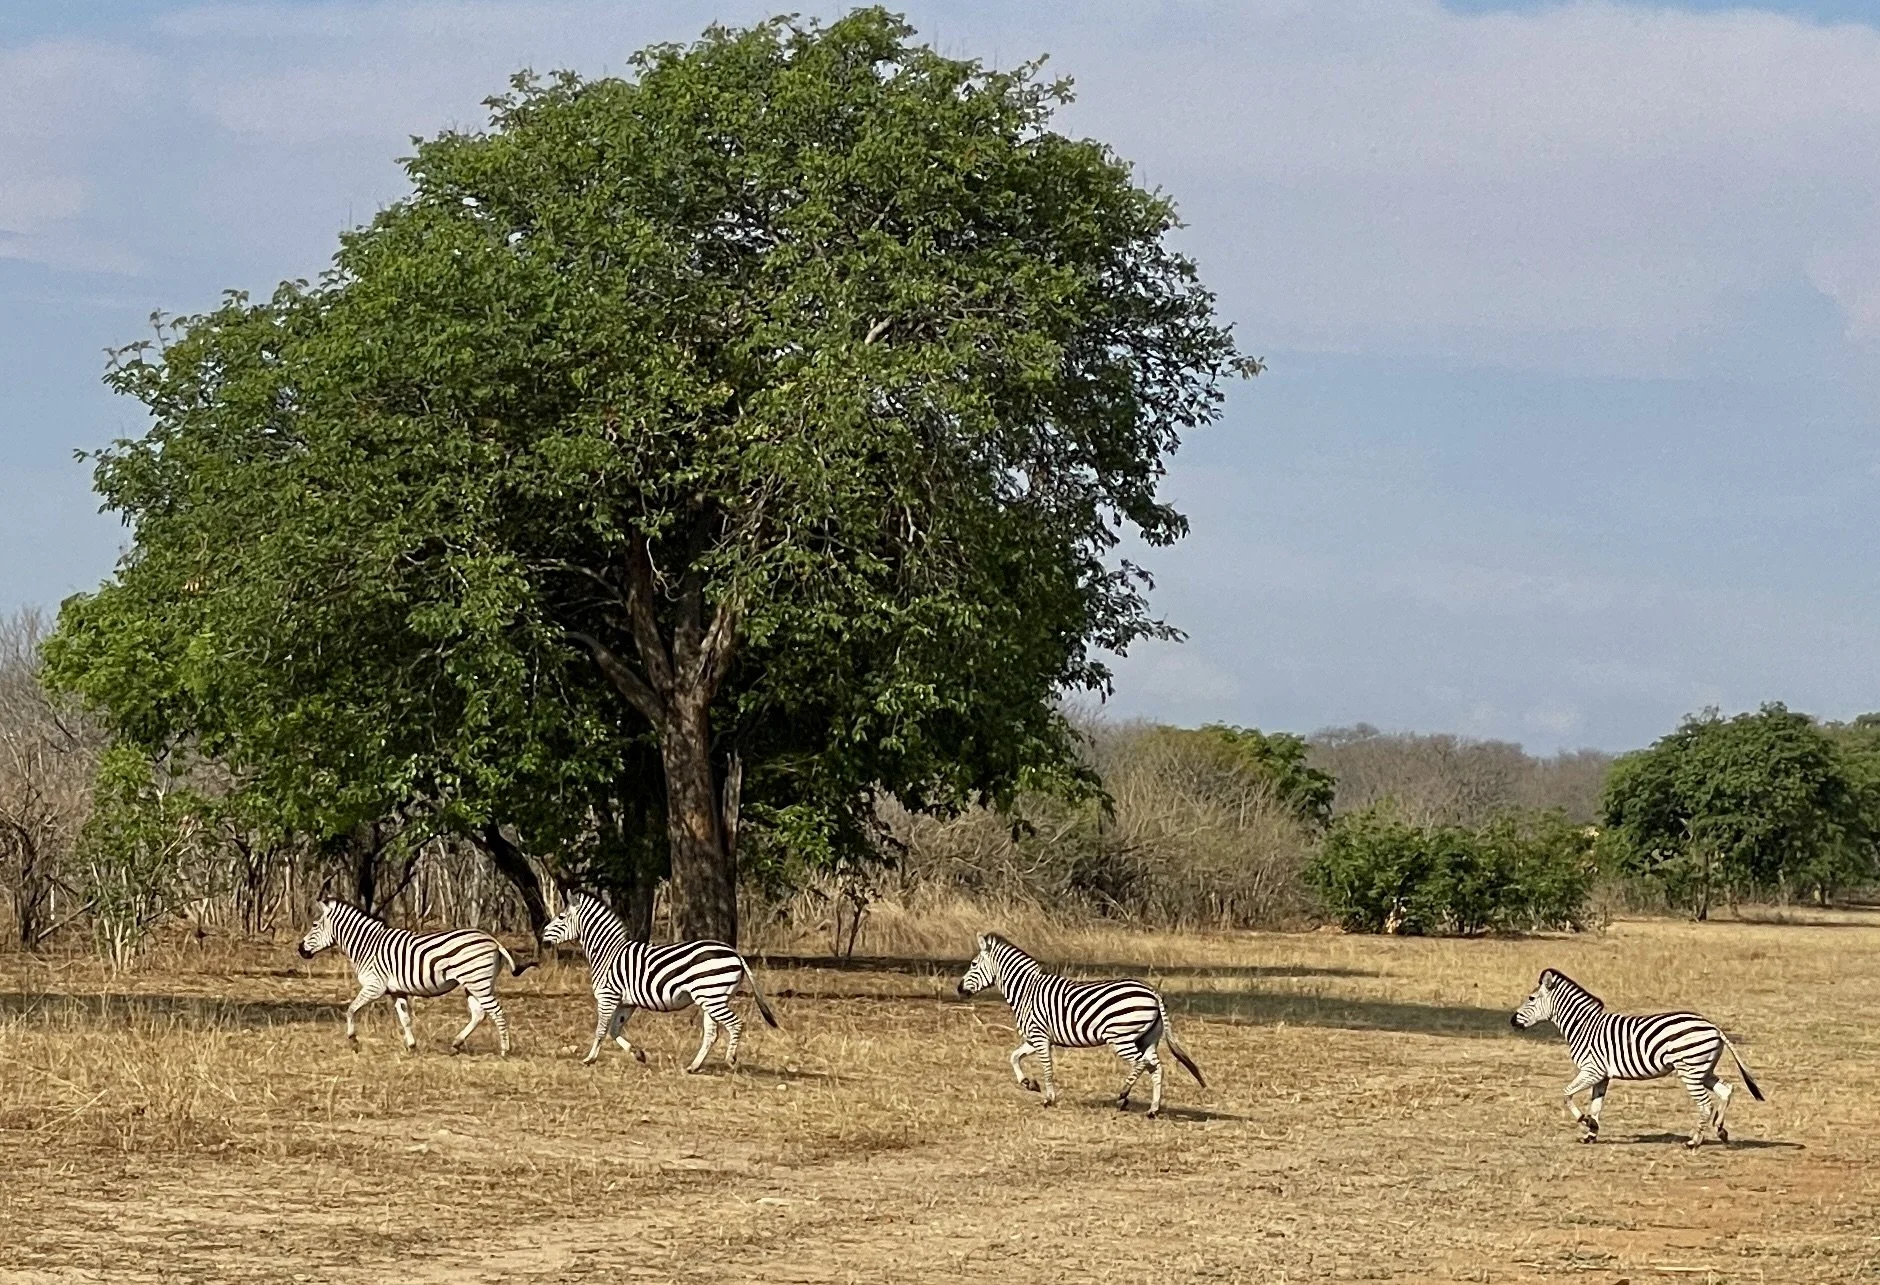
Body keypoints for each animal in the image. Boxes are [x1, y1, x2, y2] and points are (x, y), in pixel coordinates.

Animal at [296, 897, 533, 1055]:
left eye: (314, 925)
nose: (300, 949)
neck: (367, 945)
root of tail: (493, 940)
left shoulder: (375, 986)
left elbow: (351, 1009)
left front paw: (353, 1041)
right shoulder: (396, 991)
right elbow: (405, 1018)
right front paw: (411, 1046)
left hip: (477, 982)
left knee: (497, 1012)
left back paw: (505, 1050)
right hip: (474, 984)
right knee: (479, 1013)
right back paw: (455, 1044)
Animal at [541, 890, 779, 1071]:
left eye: (561, 917)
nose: (542, 935)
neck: (608, 953)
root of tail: (735, 952)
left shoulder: (608, 996)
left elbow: (601, 1030)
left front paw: (589, 1059)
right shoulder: (627, 1002)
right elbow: (614, 1030)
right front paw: (638, 1054)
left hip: (712, 996)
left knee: (735, 1024)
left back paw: (730, 1059)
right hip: (713, 997)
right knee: (712, 1034)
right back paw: (694, 1066)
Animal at [956, 932, 1205, 1118]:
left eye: (973, 964)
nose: (959, 989)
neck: (1027, 990)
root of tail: (1152, 991)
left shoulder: (1040, 1036)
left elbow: (1047, 1068)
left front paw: (1048, 1098)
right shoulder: (1033, 1039)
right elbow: (1013, 1057)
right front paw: (1028, 1083)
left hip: (1121, 1037)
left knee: (1141, 1063)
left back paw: (1123, 1095)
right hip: (1147, 1038)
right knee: (1156, 1067)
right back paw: (1153, 1109)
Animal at [1511, 968, 1765, 1148]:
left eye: (1531, 998)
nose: (1512, 1021)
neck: (1584, 1026)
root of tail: (1714, 1027)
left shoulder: (1591, 1070)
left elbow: (1566, 1095)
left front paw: (1584, 1121)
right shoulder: (1602, 1075)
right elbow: (1596, 1104)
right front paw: (1591, 1132)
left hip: (1690, 1070)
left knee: (1705, 1104)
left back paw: (1694, 1141)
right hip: (1702, 1069)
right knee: (1727, 1090)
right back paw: (1720, 1130)